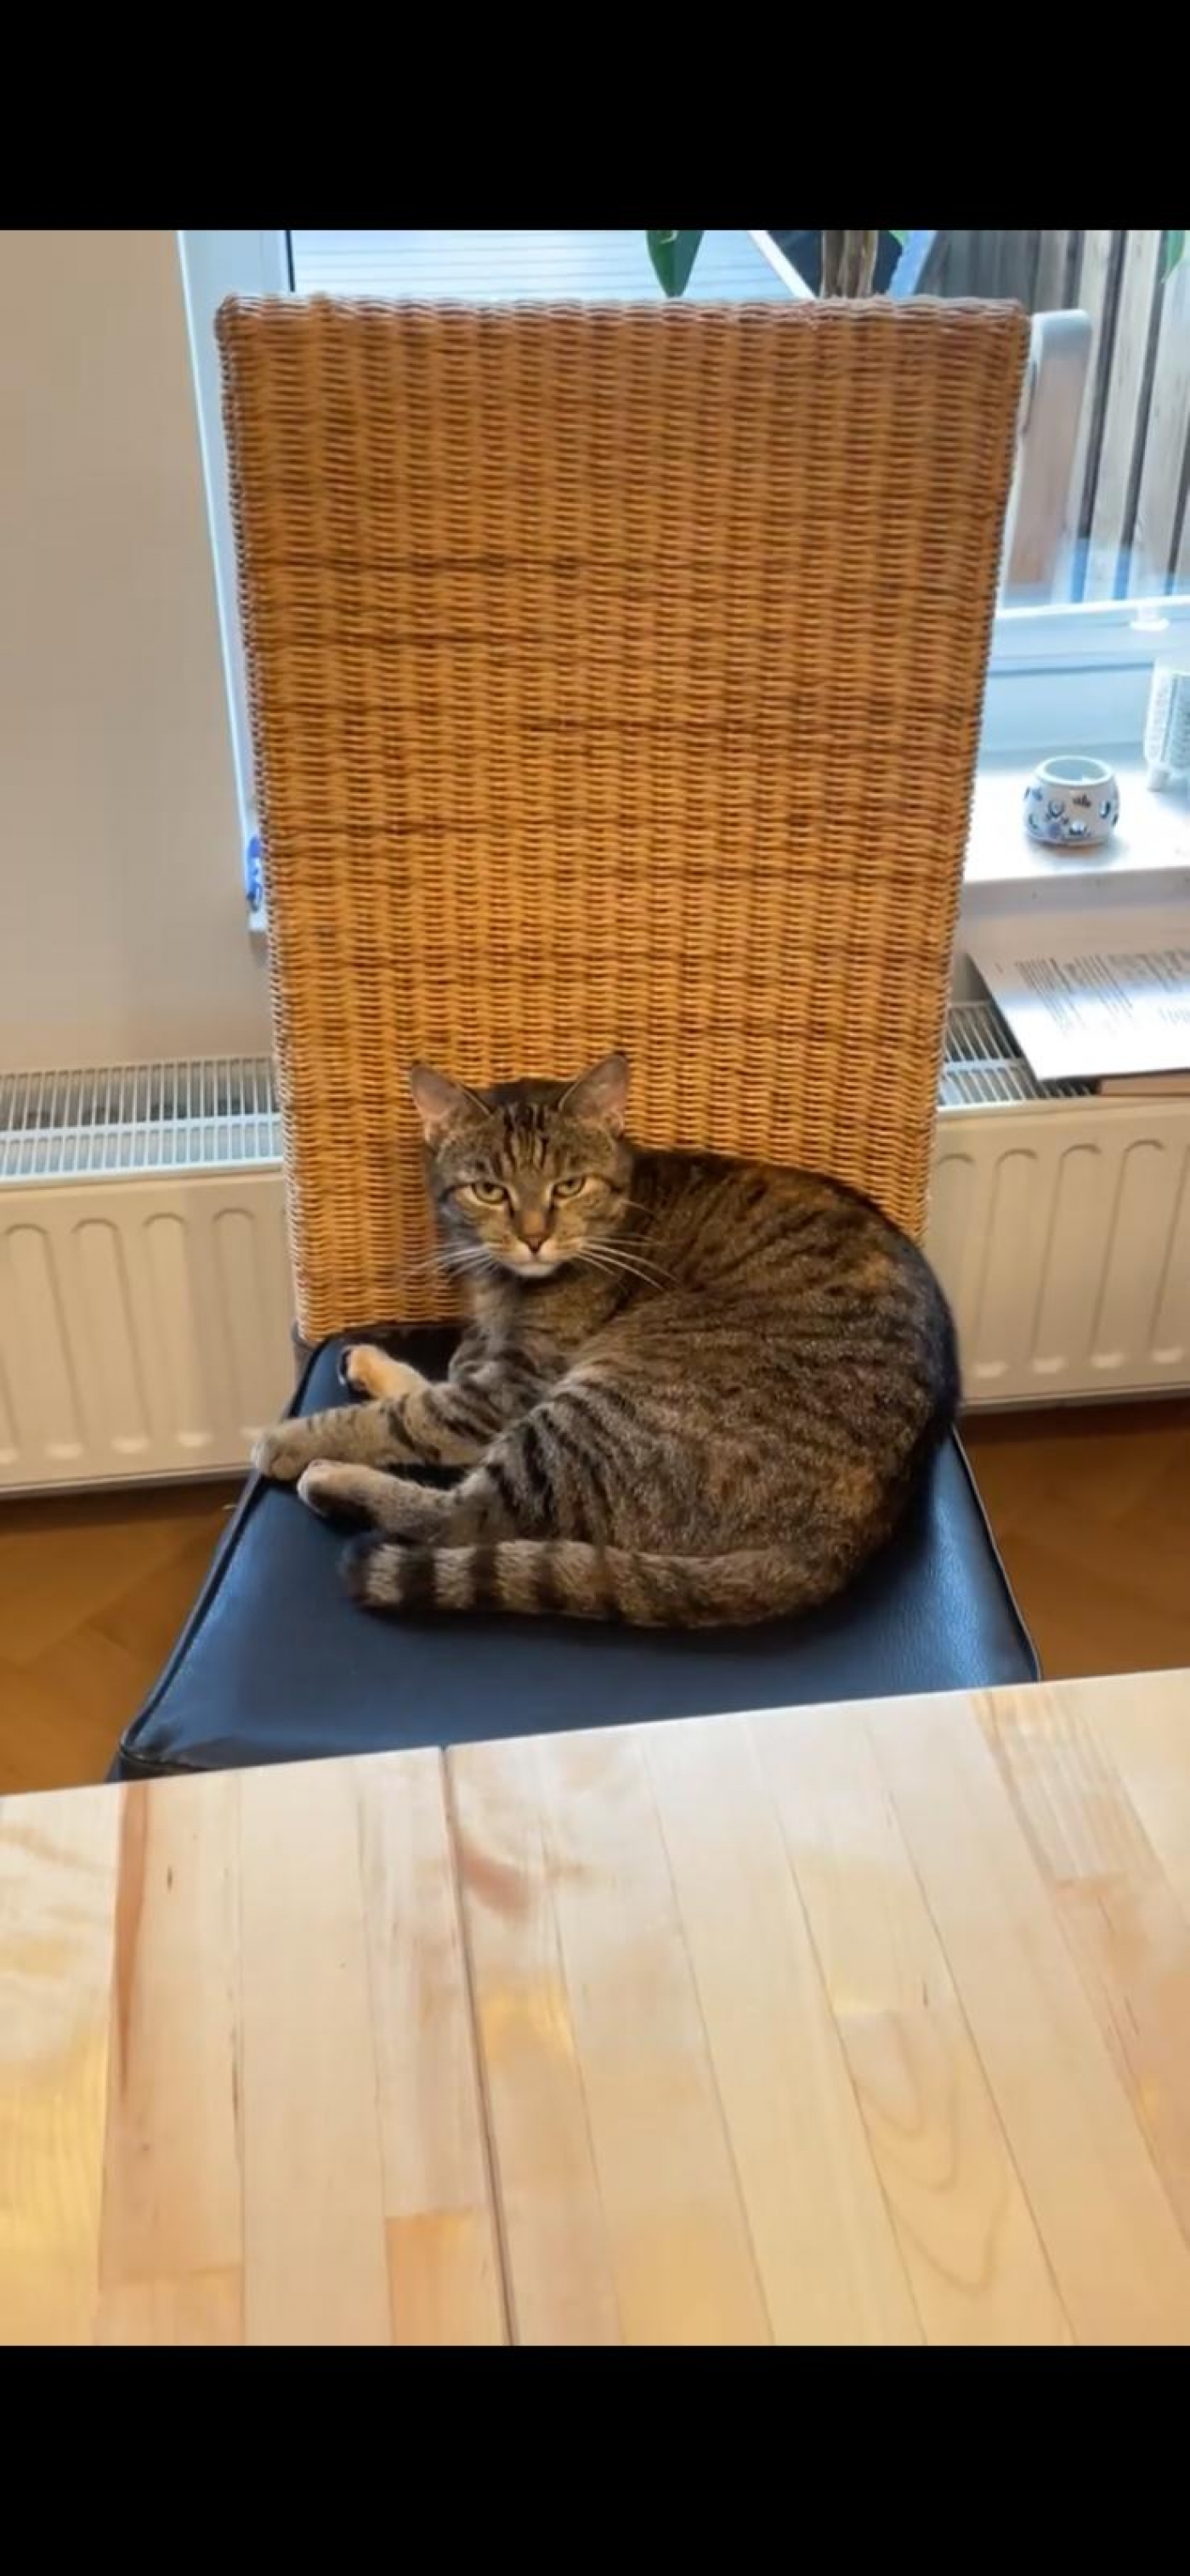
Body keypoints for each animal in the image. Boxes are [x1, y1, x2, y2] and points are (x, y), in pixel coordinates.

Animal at [254, 1051, 959, 1626]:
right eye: (489, 1190)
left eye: (568, 1185)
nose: (534, 1236)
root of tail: (845, 1540)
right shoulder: (493, 1374)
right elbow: (429, 1383)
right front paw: (372, 1362)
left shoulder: (512, 1388)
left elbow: (402, 1417)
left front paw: (289, 1439)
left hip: (598, 1407)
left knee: (466, 1517)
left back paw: (330, 1478)